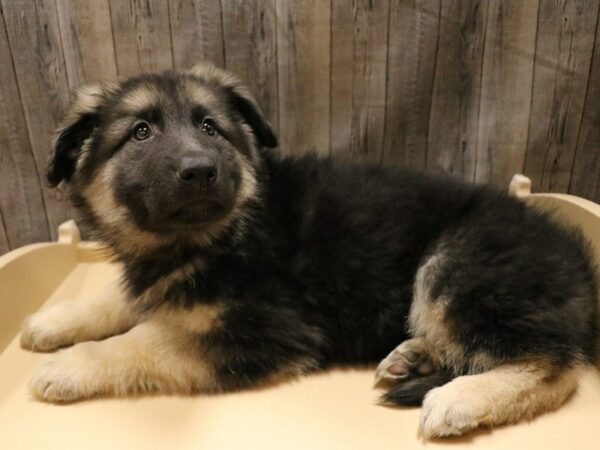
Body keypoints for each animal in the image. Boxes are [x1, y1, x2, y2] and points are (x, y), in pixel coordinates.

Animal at [19, 62, 600, 436]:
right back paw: (414, 357)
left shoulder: (264, 331)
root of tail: (579, 265)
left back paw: (459, 399)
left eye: (211, 128)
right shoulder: (158, 281)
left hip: (457, 265)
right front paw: (56, 321)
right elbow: (119, 300)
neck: (220, 233)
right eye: (140, 132)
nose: (200, 170)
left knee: (555, 367)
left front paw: (68, 367)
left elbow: (141, 341)